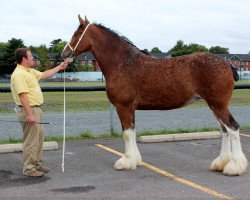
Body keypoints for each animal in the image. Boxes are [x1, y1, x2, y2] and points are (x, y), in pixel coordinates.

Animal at [61, 15, 247, 175]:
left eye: (76, 34)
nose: (63, 54)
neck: (123, 63)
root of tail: (227, 64)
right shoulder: (130, 108)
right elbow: (132, 132)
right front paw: (135, 160)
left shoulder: (123, 106)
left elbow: (126, 133)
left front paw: (125, 162)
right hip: (214, 105)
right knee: (224, 131)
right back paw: (220, 163)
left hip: (218, 105)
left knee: (232, 128)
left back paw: (234, 167)